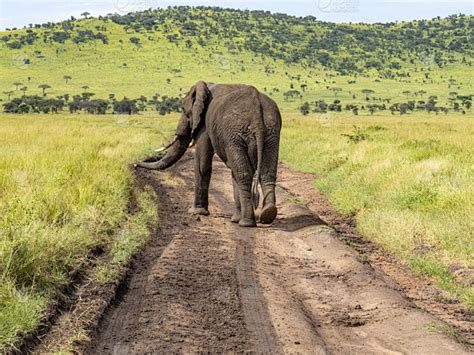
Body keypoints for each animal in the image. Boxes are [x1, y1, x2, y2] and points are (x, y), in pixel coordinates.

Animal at [134, 81, 282, 228]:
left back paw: (246, 223)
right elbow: (233, 171)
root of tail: (256, 112)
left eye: (183, 109)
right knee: (266, 173)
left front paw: (196, 212)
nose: (134, 164)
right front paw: (234, 219)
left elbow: (202, 163)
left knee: (243, 174)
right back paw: (267, 214)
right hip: (269, 132)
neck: (208, 86)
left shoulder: (205, 124)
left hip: (237, 133)